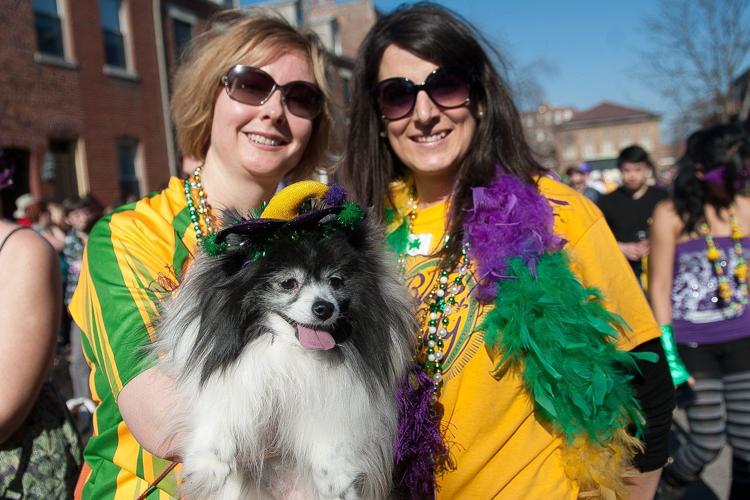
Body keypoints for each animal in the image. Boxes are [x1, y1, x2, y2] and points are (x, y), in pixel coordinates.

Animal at [153, 195, 418, 500]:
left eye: (336, 281)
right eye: (288, 283)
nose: (325, 308)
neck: (290, 351)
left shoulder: (337, 401)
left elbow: (333, 442)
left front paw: (336, 484)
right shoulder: (237, 384)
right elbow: (223, 411)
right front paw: (208, 466)